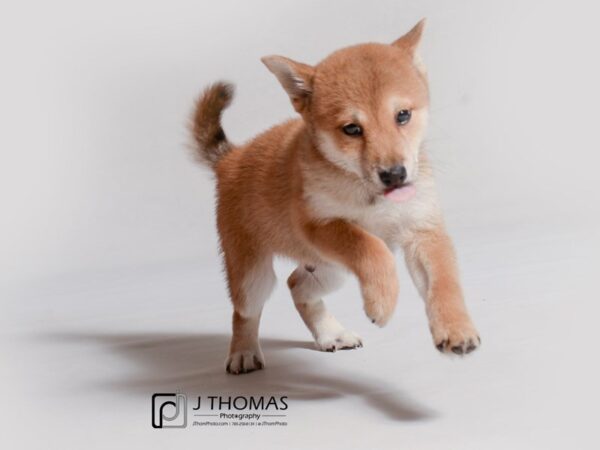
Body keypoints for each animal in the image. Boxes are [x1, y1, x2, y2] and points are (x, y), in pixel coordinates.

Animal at [190, 19, 480, 374]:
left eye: (402, 115)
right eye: (352, 129)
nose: (395, 174)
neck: (370, 194)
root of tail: (231, 158)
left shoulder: (423, 231)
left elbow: (445, 281)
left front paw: (456, 329)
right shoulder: (318, 225)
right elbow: (371, 248)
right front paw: (383, 301)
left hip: (329, 270)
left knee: (297, 286)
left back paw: (331, 334)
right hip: (254, 276)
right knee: (245, 312)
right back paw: (243, 353)